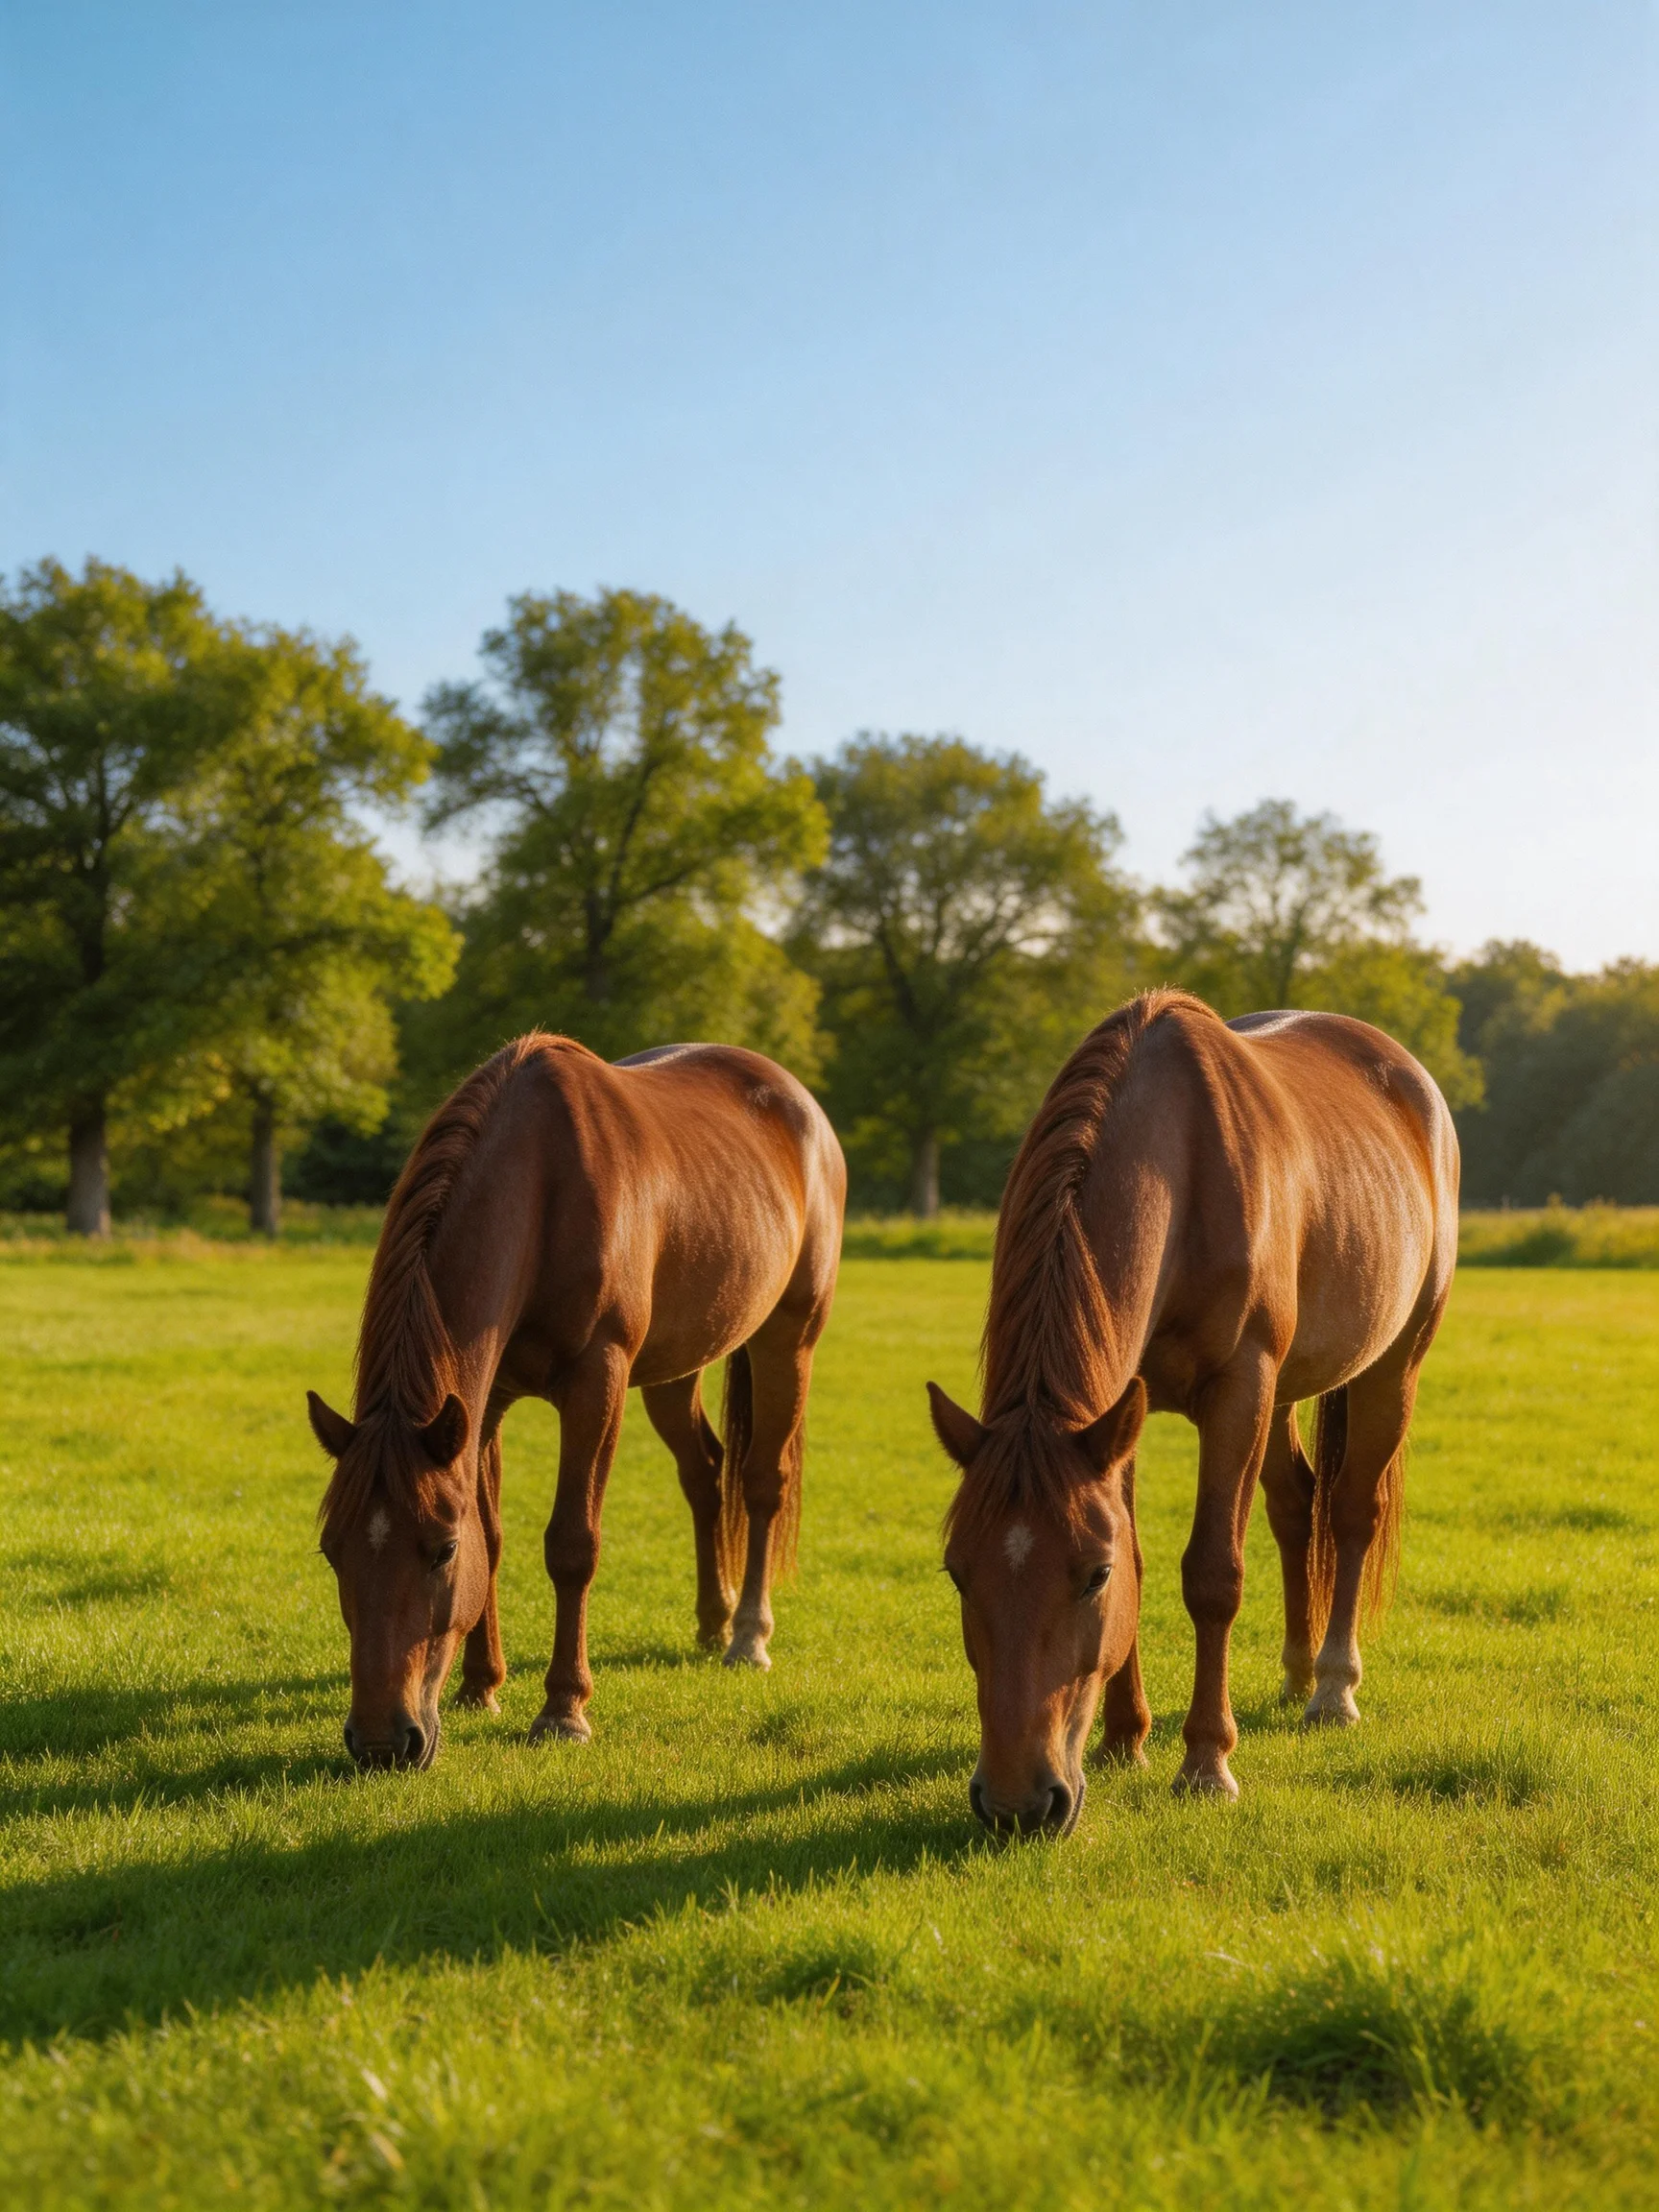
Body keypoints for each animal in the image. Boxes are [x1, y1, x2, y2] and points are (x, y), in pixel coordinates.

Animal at [306, 1033, 845, 1770]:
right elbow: (494, 1537)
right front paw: (481, 1686)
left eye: (441, 1551)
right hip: (678, 1363)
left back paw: (747, 1636)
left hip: (789, 1337)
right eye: (332, 1550)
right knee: (705, 1473)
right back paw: (712, 1621)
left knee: (763, 1481)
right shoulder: (484, 1404)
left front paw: (563, 1709)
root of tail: (800, 1104)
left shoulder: (598, 1383)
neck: (541, 1190)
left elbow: (571, 1544)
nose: (383, 1743)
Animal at [927, 990, 1459, 1835]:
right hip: (1285, 1394)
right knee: (1294, 1505)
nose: (1018, 1806)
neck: (1177, 1171)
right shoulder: (1125, 1405)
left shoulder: (1240, 1387)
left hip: (1390, 1367)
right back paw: (1296, 1670)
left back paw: (1333, 1688)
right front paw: (1124, 1740)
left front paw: (1207, 1762)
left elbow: (1213, 1574)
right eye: (956, 1572)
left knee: (1349, 1513)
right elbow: (1154, 1558)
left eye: (1093, 1576)